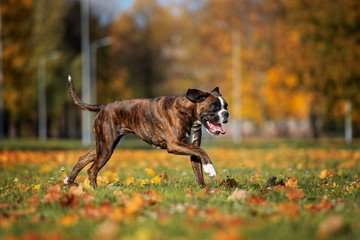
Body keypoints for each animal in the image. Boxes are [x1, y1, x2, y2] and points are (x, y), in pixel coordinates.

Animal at [63, 75, 229, 188]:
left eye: (225, 106)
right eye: (214, 106)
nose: (226, 114)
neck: (188, 111)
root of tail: (104, 106)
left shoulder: (191, 147)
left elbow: (198, 169)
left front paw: (203, 190)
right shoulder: (174, 145)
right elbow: (202, 152)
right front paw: (210, 169)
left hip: (102, 146)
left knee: (82, 159)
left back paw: (68, 181)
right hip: (106, 148)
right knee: (92, 170)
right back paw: (95, 190)